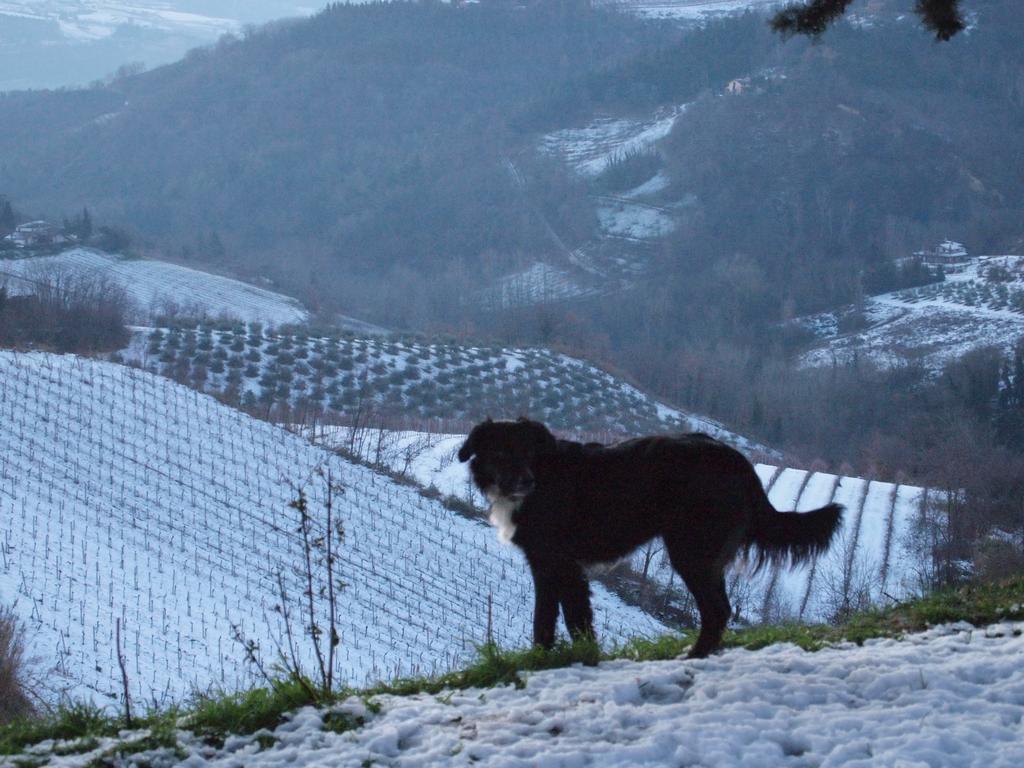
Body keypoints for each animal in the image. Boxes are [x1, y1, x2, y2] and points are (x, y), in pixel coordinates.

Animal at [460, 417, 843, 659]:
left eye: (528, 452)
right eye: (500, 453)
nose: (526, 481)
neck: (543, 476)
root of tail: (735, 459)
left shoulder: (560, 564)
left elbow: (568, 619)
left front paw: (578, 657)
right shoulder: (549, 566)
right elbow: (549, 620)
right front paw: (544, 659)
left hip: (691, 551)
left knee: (716, 609)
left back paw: (694, 655)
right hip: (706, 555)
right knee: (721, 607)